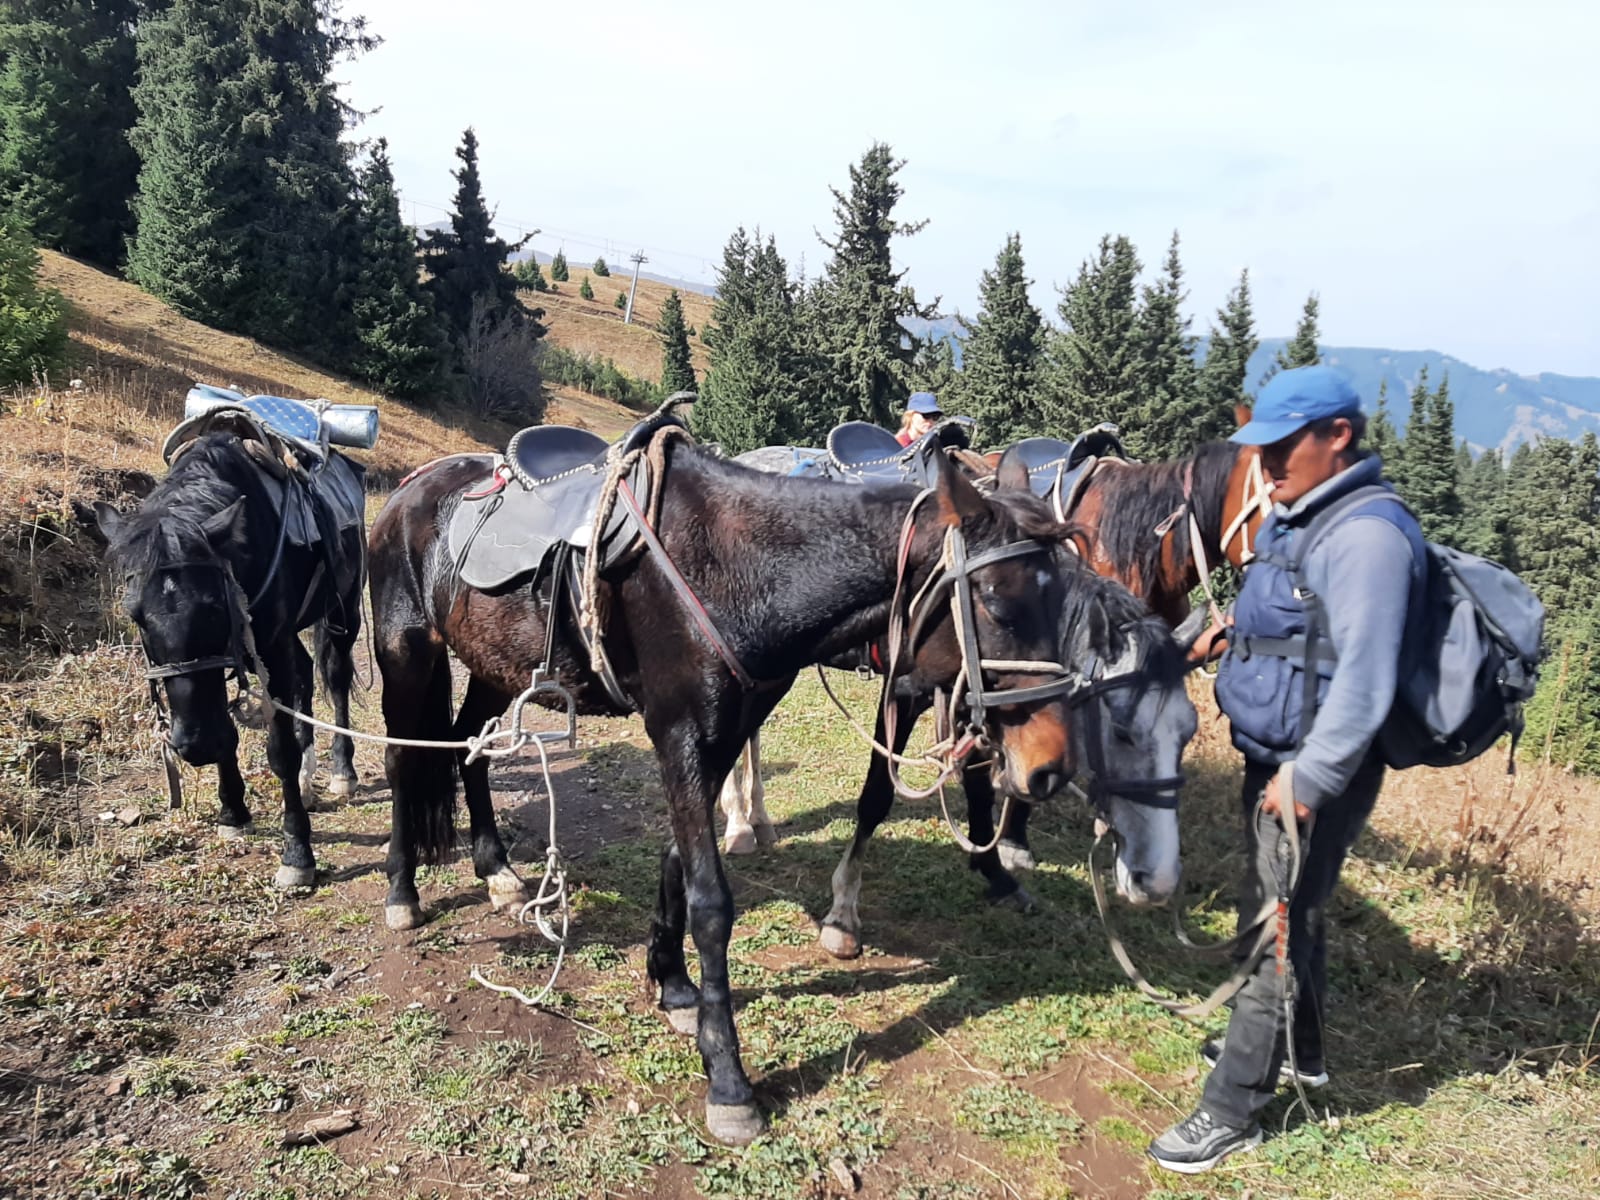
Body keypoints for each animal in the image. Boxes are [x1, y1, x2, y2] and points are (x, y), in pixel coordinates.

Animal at [94, 432, 366, 888]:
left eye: (214, 605)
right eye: (135, 615)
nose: (195, 745)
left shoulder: (267, 647)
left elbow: (280, 752)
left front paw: (297, 853)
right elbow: (231, 732)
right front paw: (233, 812)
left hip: (343, 610)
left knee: (335, 676)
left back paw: (340, 771)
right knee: (305, 677)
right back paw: (308, 779)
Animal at [366, 430, 1076, 1145]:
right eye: (996, 600)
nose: (1050, 763)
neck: (740, 565)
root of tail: (409, 490)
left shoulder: (723, 735)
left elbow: (677, 861)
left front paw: (673, 984)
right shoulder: (679, 734)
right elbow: (711, 902)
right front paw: (729, 1080)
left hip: (494, 668)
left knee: (470, 751)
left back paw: (498, 870)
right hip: (406, 655)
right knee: (403, 762)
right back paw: (402, 891)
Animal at [818, 548, 1199, 958]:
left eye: (1188, 731)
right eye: (1121, 731)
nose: (1158, 880)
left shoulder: (974, 700)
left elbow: (980, 788)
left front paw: (996, 874)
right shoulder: (904, 695)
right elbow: (877, 796)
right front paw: (842, 914)